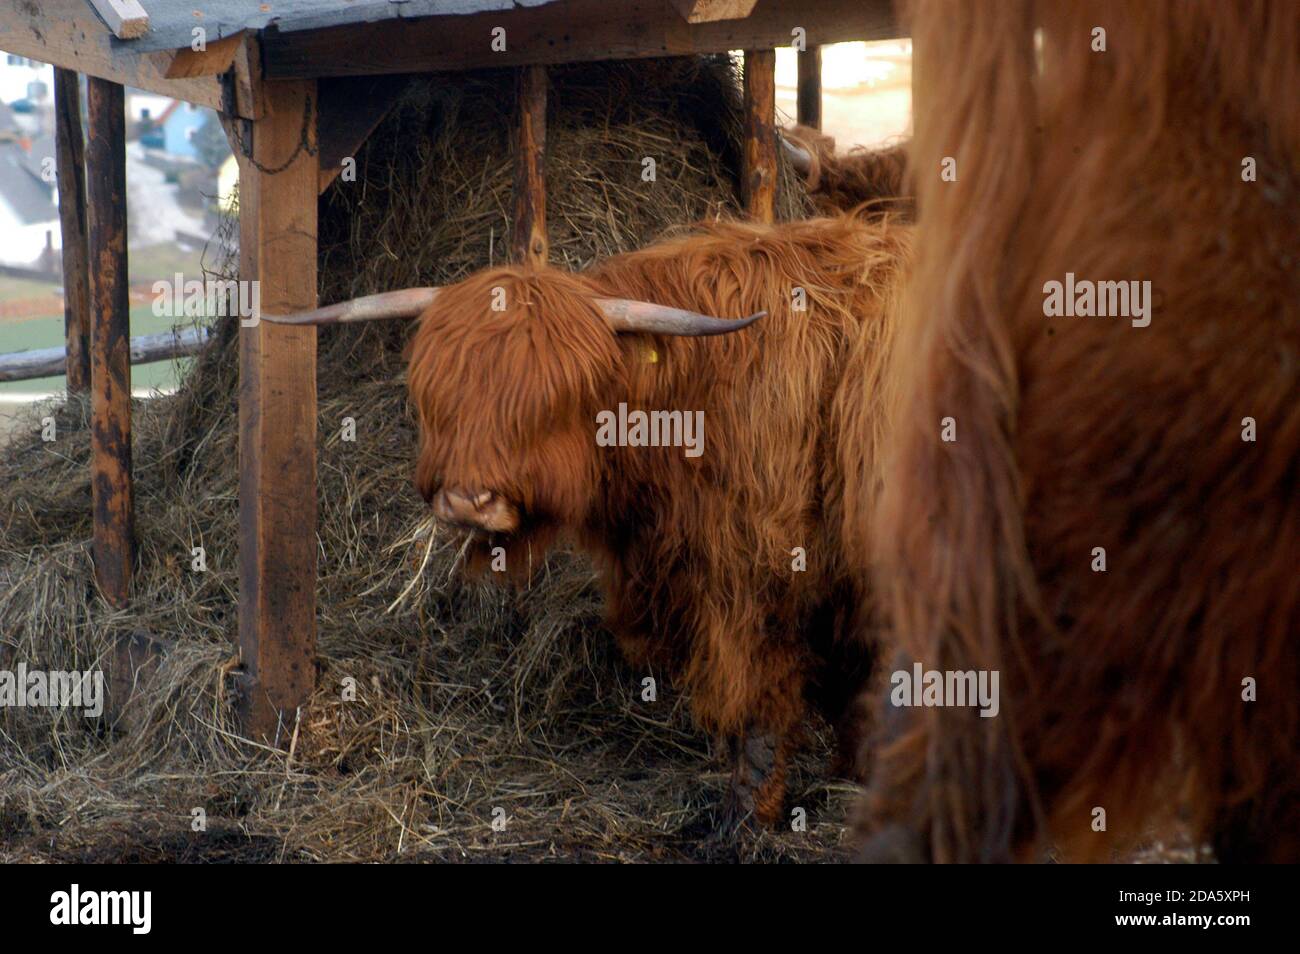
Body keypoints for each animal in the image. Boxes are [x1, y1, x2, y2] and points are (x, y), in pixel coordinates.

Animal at [269, 214, 912, 830]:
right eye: (440, 396)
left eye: (547, 401)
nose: (467, 502)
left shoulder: (757, 572)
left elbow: (759, 700)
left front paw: (745, 816)